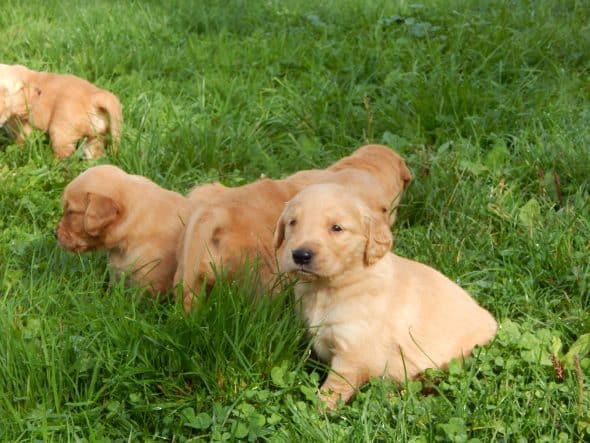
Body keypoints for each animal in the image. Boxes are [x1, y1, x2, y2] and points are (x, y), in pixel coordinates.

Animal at [276, 183, 498, 410]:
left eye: (336, 228)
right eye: (292, 222)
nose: (300, 255)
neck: (328, 287)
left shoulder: (353, 354)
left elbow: (334, 388)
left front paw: (316, 411)